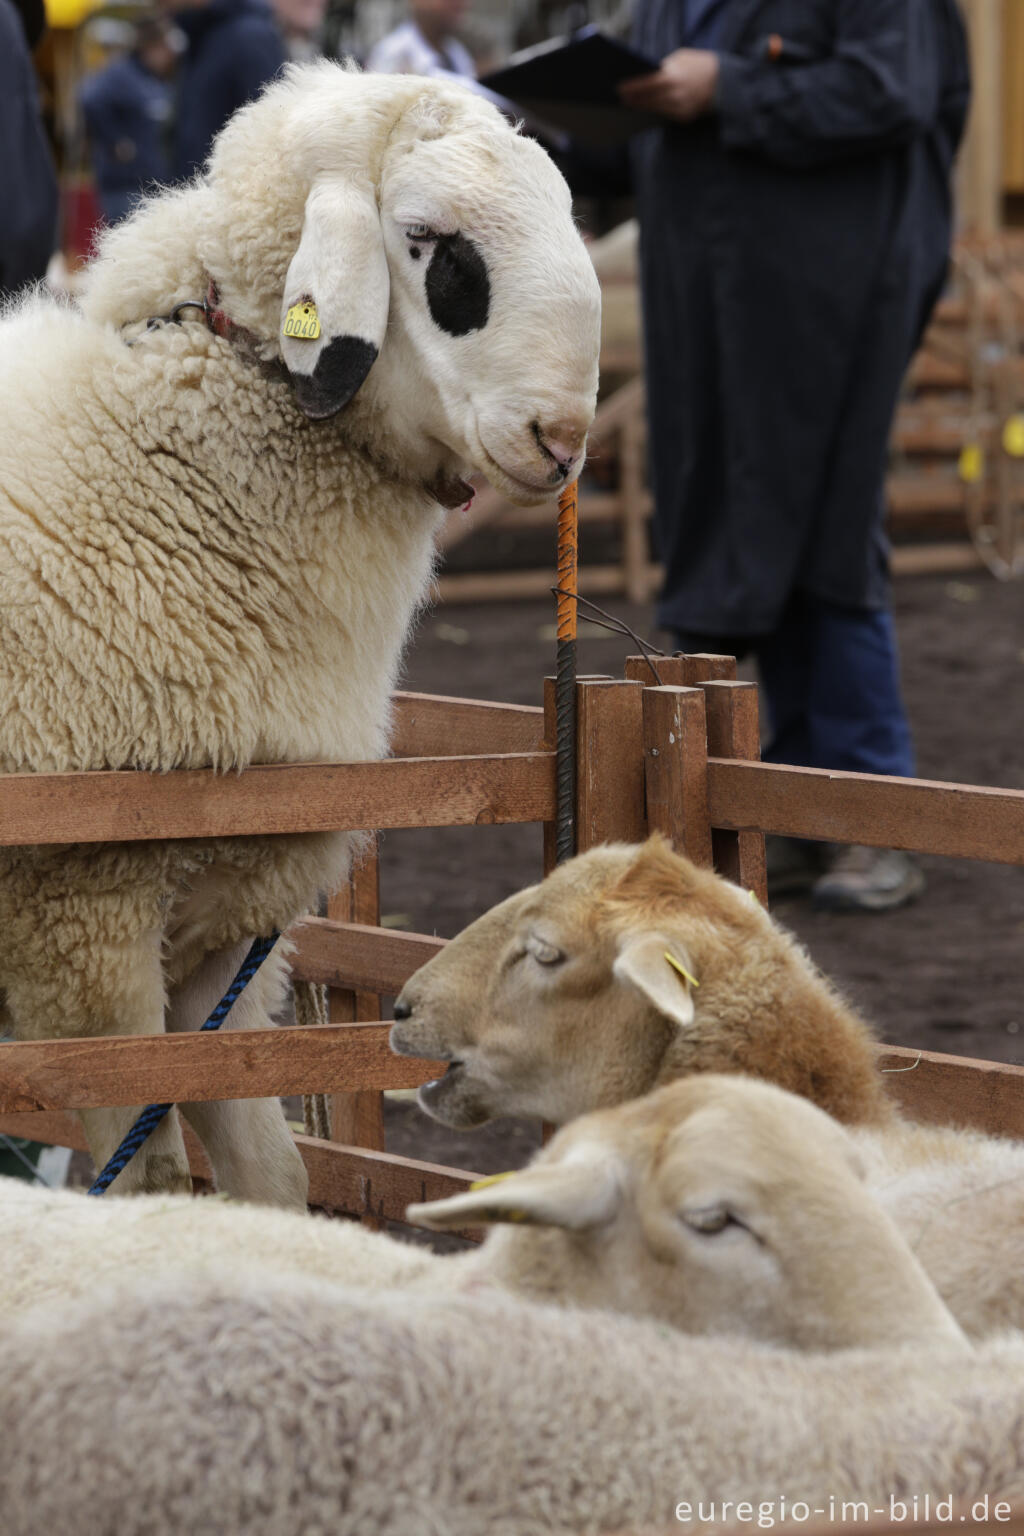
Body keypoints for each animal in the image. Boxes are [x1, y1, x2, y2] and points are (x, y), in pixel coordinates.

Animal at [0, 59, 601, 1204]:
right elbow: (147, 1188)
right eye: (426, 239)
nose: (563, 436)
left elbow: (271, 1175)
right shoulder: (82, 924)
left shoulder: (225, 937)